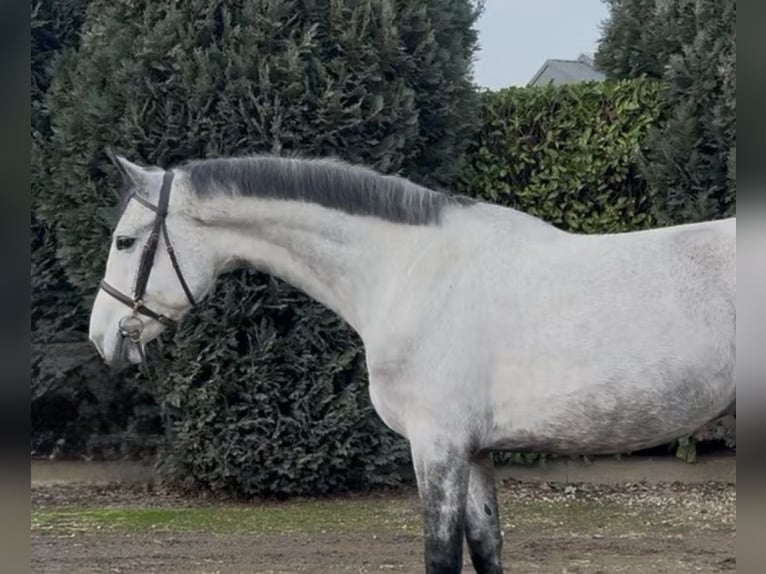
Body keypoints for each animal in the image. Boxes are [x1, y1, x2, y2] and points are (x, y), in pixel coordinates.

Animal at [88, 152, 736, 574]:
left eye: (125, 241)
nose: (102, 336)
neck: (410, 271)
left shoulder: (438, 446)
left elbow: (441, 558)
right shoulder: (474, 451)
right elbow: (487, 549)